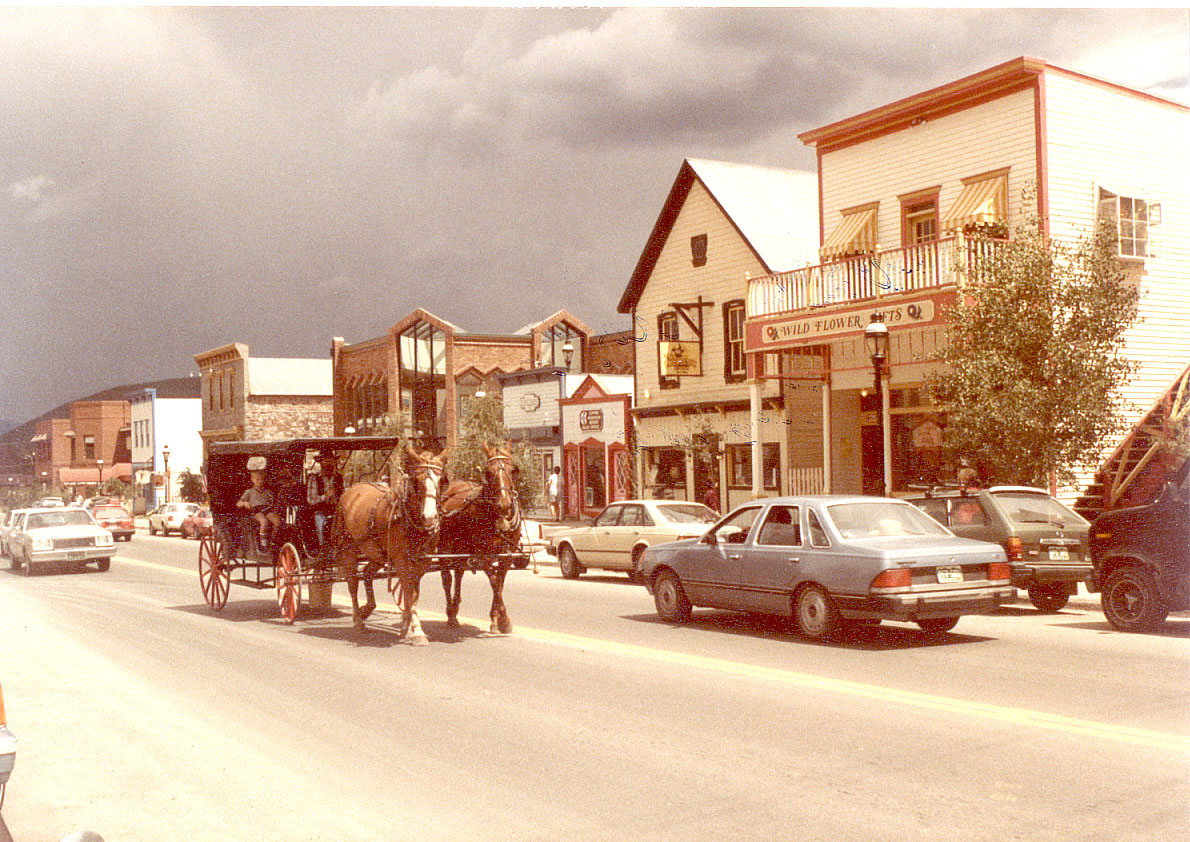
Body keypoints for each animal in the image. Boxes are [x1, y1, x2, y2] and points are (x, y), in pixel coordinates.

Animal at [333, 444, 447, 642]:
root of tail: (349, 491)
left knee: (367, 574)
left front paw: (407, 625)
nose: (430, 517)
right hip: (348, 549)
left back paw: (367, 609)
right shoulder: (401, 560)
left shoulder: (422, 562)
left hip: (376, 552)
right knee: (352, 583)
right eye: (417, 481)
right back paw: (358, 620)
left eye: (441, 481)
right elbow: (408, 590)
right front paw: (415, 629)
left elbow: (414, 592)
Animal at [437, 440, 521, 632]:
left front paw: (496, 618)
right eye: (488, 472)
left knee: (459, 573)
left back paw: (455, 607)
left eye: (513, 470)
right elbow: (494, 581)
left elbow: (500, 582)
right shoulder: (483, 555)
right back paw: (450, 614)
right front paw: (504, 619)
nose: (504, 504)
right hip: (445, 547)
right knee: (447, 577)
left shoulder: (507, 554)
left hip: (461, 549)